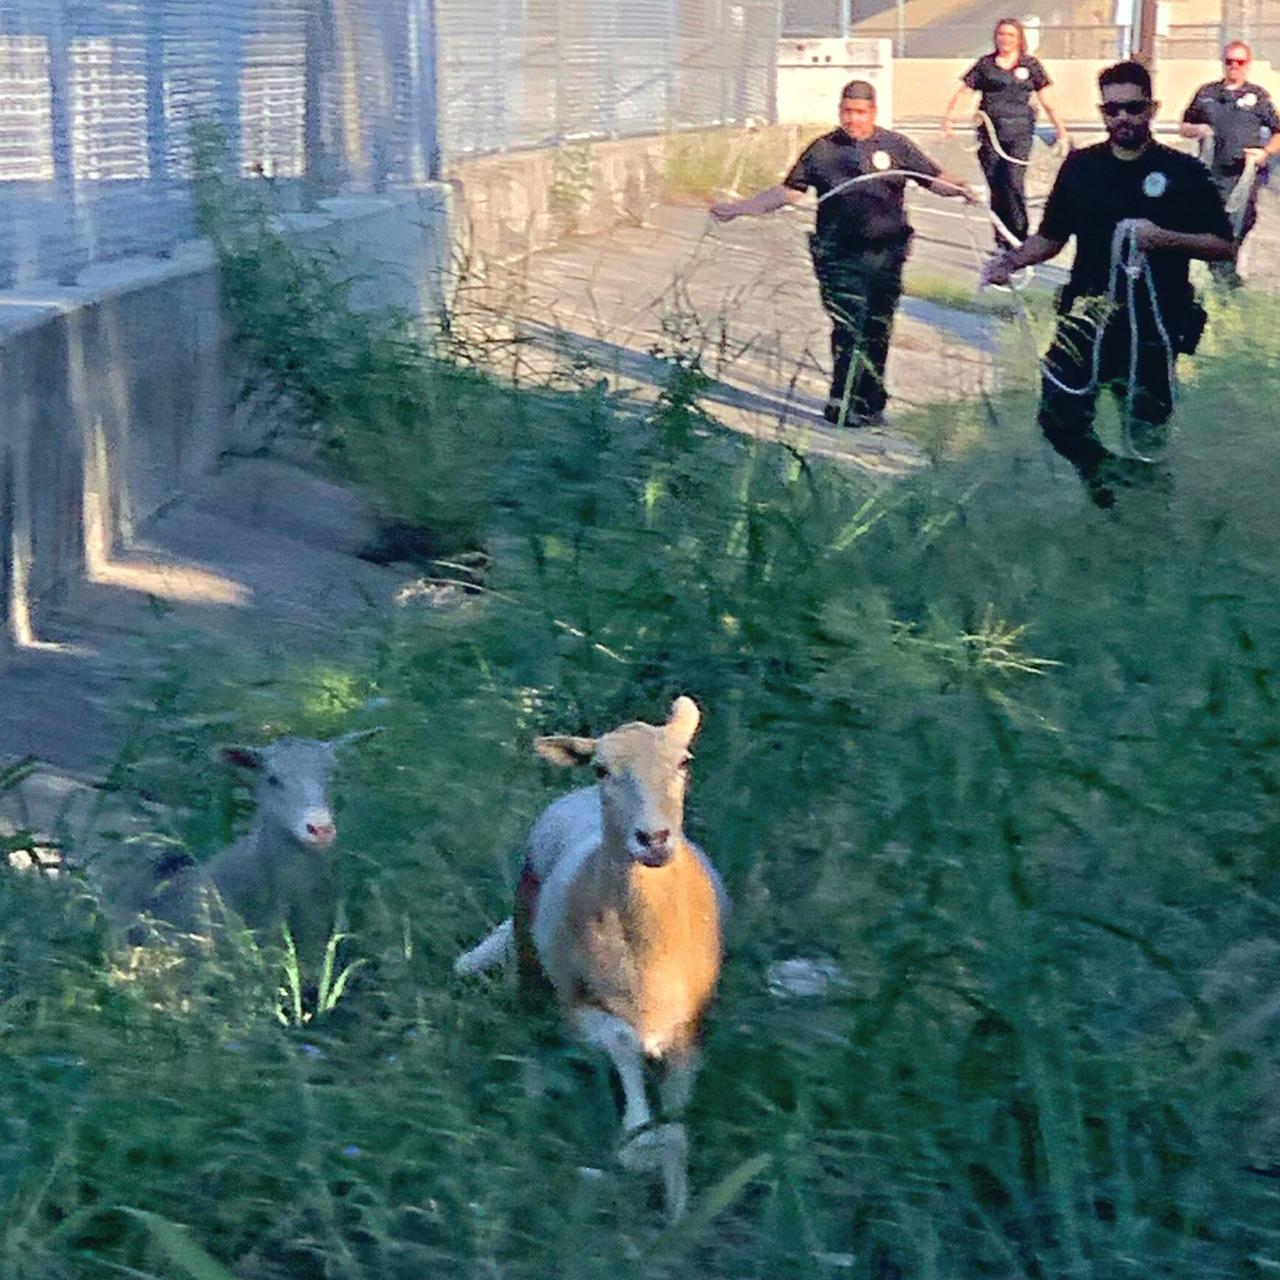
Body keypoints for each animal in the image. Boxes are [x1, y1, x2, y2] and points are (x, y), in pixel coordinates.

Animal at [456, 696, 726, 1220]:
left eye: (684, 763)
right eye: (602, 769)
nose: (654, 838)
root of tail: (573, 800)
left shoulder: (690, 1025)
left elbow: (678, 1118)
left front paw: (678, 1204)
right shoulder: (576, 1008)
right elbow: (622, 1045)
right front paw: (637, 1145)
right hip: (529, 941)